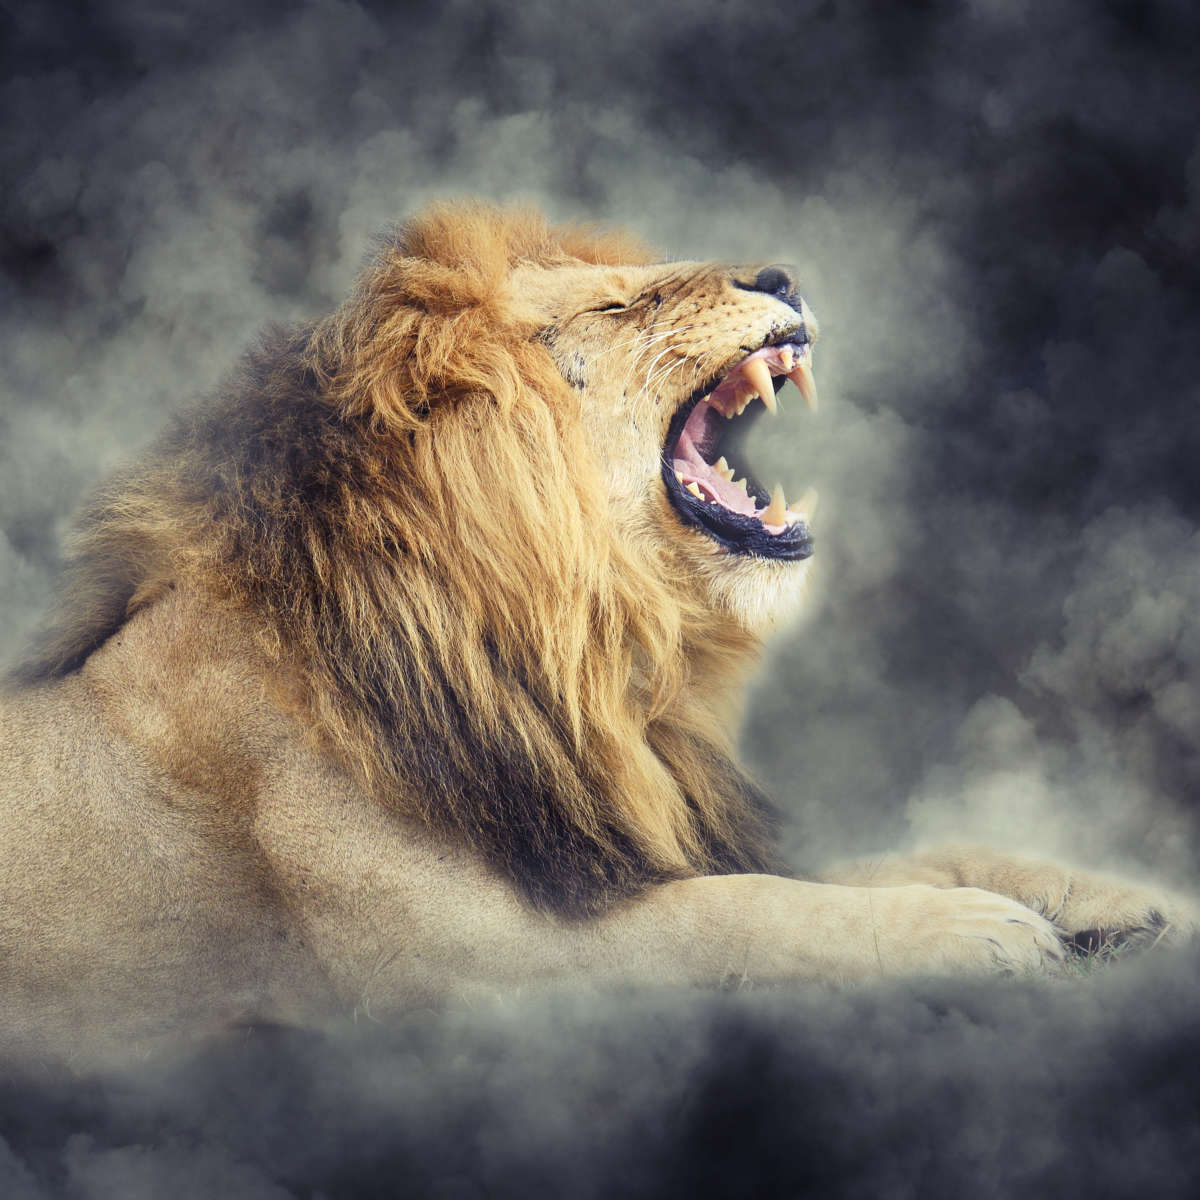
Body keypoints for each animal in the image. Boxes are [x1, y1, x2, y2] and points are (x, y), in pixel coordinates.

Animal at [0, 201, 1193, 1064]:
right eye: (624, 304)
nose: (784, 276)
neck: (590, 661)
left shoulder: (628, 837)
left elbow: (910, 854)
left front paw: (1130, 900)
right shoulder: (465, 963)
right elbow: (747, 914)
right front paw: (966, 934)